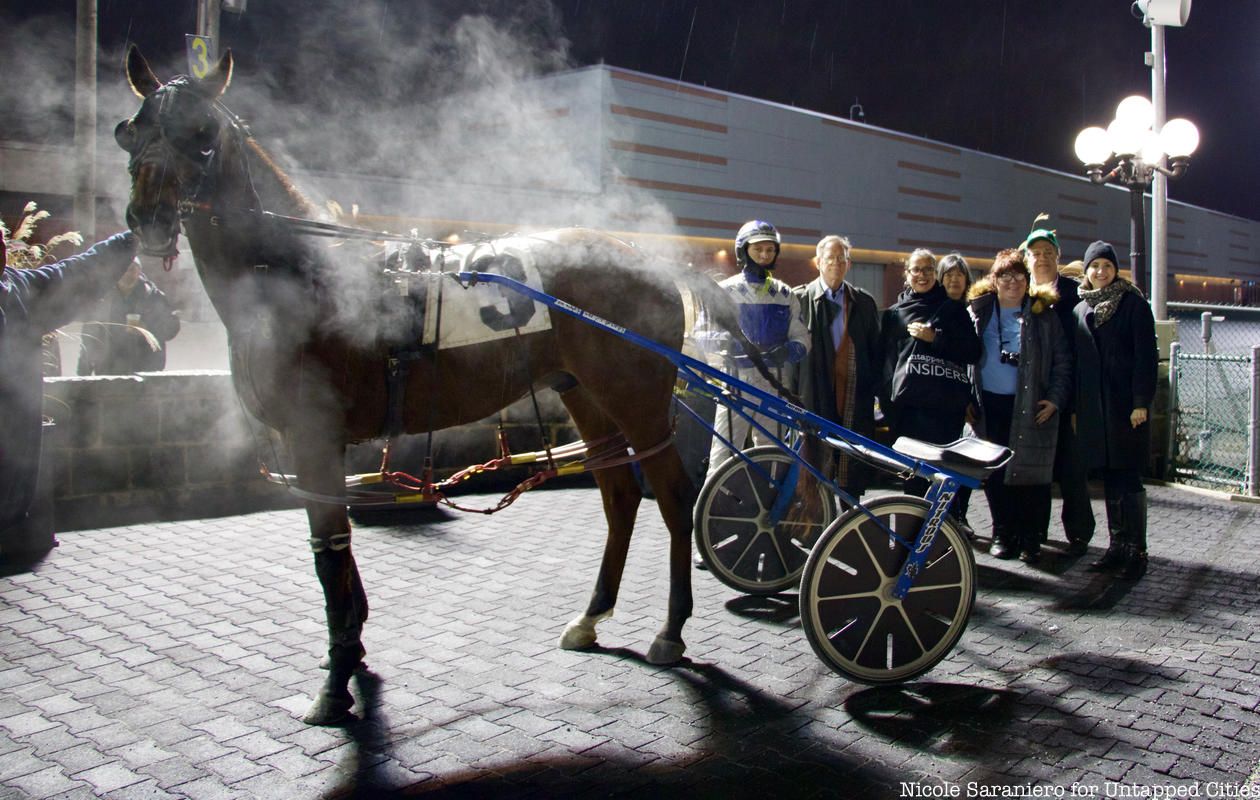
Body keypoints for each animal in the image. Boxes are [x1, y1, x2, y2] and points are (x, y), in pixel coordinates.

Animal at [115, 48, 776, 725]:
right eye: (131, 129)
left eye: (201, 135)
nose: (147, 220)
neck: (305, 278)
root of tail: (651, 262)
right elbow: (341, 552)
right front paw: (353, 649)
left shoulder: (314, 435)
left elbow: (330, 550)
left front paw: (336, 681)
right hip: (585, 395)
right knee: (619, 496)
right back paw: (591, 617)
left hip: (637, 402)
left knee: (671, 496)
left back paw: (671, 630)